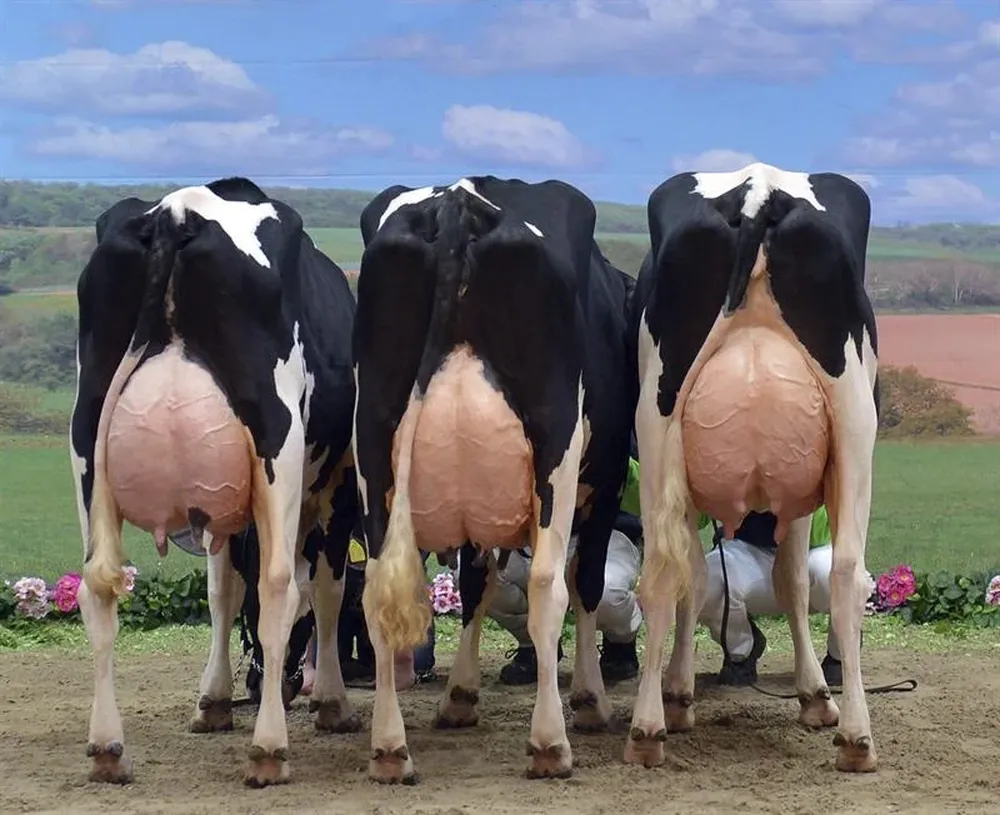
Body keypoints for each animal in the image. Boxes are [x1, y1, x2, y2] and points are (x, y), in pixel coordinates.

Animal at [68, 176, 359, 787]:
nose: (273, 683)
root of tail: (178, 210)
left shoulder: (221, 510)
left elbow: (222, 591)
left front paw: (214, 701)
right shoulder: (336, 488)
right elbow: (324, 590)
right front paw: (332, 702)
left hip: (85, 441)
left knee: (98, 585)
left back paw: (108, 749)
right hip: (278, 437)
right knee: (277, 584)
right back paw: (269, 748)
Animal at [353, 176, 634, 782]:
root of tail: (458, 201)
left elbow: (476, 583)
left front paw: (459, 697)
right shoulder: (606, 483)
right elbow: (587, 582)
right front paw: (591, 700)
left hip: (372, 446)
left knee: (377, 591)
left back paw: (390, 748)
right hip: (558, 445)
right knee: (549, 584)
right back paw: (550, 743)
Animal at [624, 162, 879, 773]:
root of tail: (759, 187)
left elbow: (703, 577)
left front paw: (680, 694)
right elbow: (787, 581)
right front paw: (814, 696)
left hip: (663, 423)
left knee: (664, 569)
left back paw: (649, 728)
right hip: (855, 424)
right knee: (845, 572)